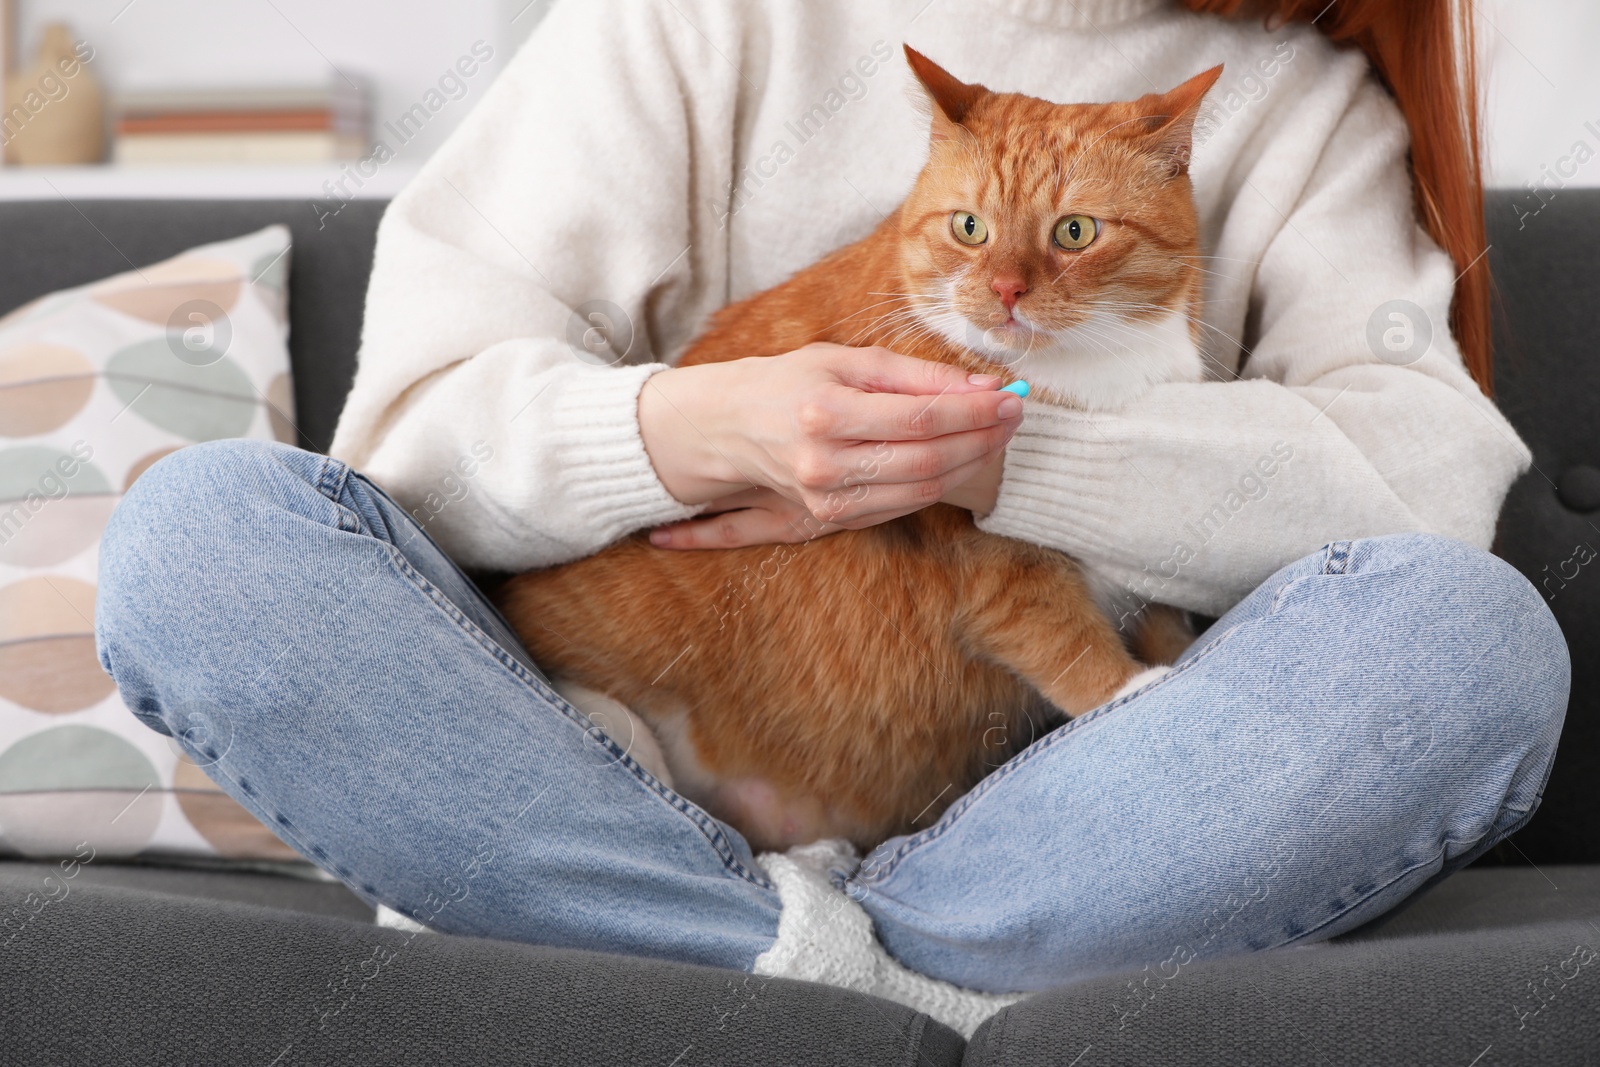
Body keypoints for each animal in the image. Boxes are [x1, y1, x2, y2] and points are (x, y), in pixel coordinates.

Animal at [499, 47, 1222, 851]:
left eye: (1074, 232)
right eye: (970, 227)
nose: (1005, 290)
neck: (1097, 375)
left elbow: (1161, 615)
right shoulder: (996, 573)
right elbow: (1064, 641)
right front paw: (1134, 689)